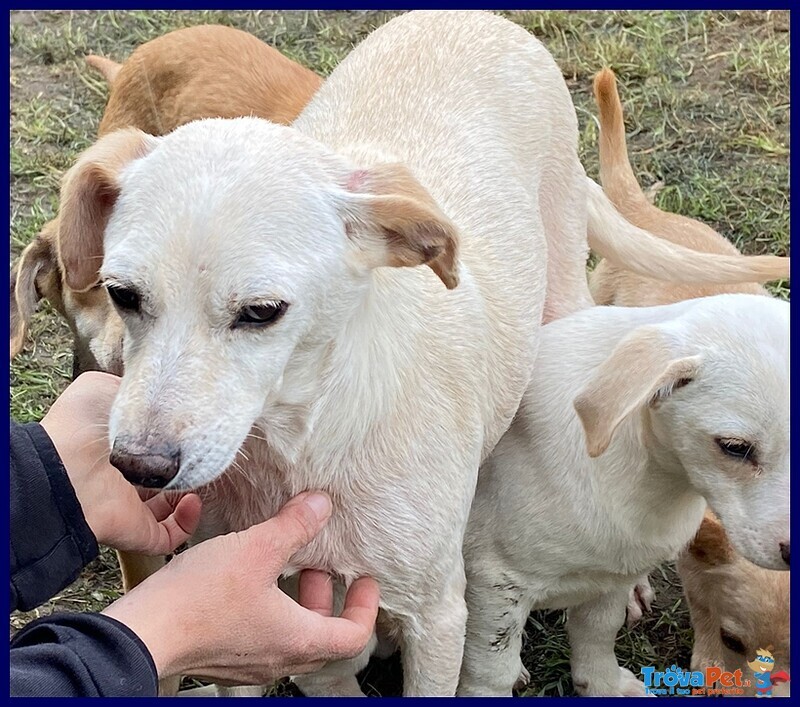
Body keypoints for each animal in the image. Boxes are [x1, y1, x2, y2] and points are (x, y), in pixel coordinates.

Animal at [460, 294, 792, 696]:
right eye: (734, 447)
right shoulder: (496, 580)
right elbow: (491, 669)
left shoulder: (613, 573)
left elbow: (598, 631)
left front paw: (603, 684)